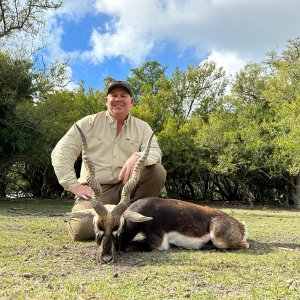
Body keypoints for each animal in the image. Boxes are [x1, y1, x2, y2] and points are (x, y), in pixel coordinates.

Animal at [72, 125, 248, 264]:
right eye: (97, 225)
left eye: (119, 227)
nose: (106, 258)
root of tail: (240, 224)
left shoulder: (158, 244)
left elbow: (131, 246)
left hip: (219, 238)